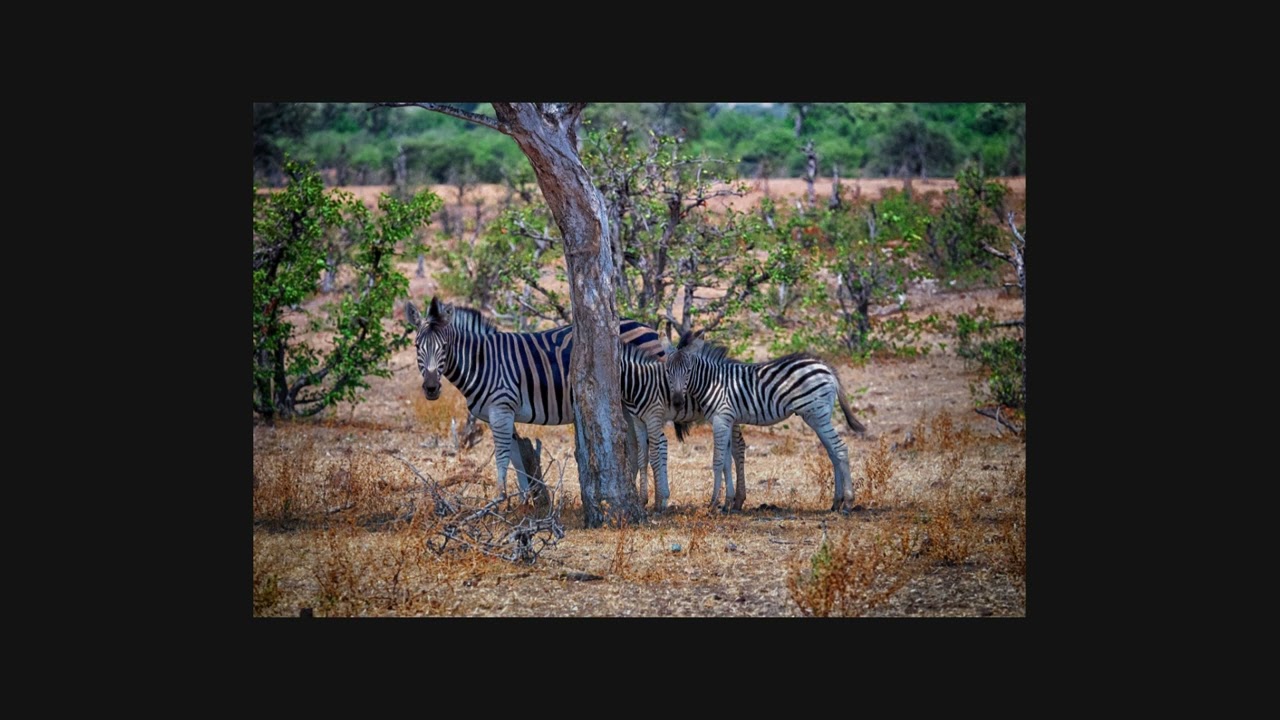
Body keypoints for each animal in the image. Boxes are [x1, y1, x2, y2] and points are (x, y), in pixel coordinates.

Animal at [406, 297, 740, 510]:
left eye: (445, 347)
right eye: (417, 346)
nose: (432, 388)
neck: (484, 361)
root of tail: (648, 328)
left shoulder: (501, 408)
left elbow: (501, 457)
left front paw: (500, 502)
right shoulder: (499, 414)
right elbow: (515, 456)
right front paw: (527, 502)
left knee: (660, 441)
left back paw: (660, 498)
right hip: (629, 403)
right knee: (636, 444)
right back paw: (636, 494)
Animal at [664, 328, 867, 513]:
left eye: (688, 371)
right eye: (668, 371)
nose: (677, 402)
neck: (712, 382)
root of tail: (826, 367)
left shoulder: (721, 419)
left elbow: (718, 461)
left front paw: (713, 504)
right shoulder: (727, 420)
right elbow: (727, 462)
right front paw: (728, 503)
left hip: (816, 415)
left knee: (840, 449)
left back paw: (848, 504)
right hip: (819, 416)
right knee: (833, 452)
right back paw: (836, 503)